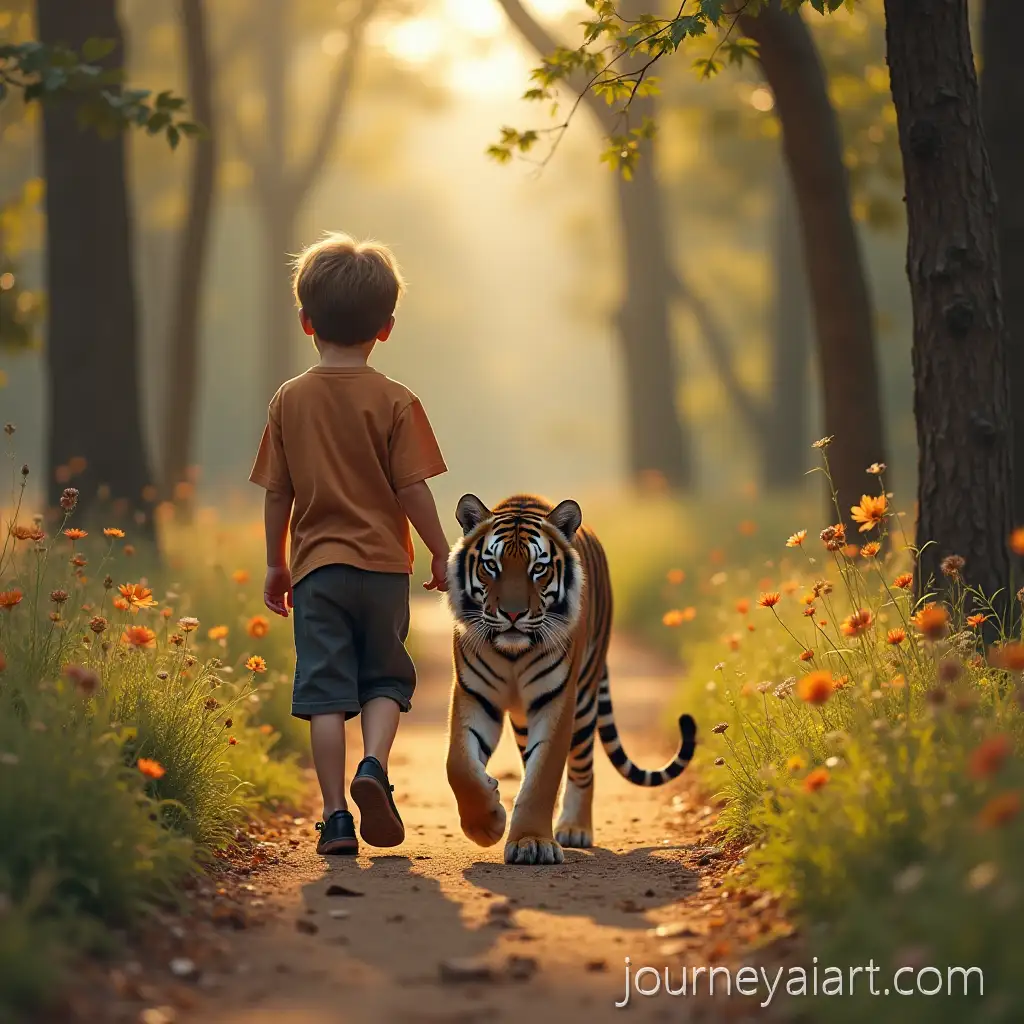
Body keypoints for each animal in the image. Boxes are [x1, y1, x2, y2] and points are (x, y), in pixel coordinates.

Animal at [445, 493, 698, 866]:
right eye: (491, 566)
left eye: (538, 568)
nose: (513, 613)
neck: (513, 653)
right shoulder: (474, 695)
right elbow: (459, 766)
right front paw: (487, 824)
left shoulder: (556, 700)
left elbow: (544, 774)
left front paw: (531, 842)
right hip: (526, 718)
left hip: (585, 698)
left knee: (582, 767)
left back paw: (574, 828)